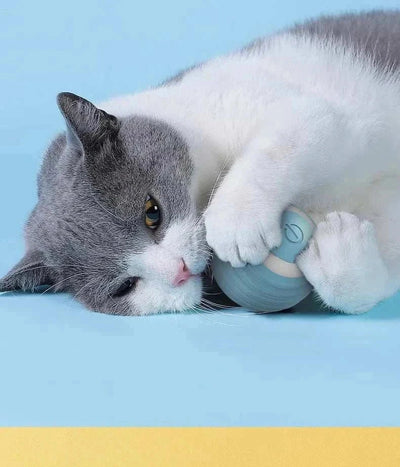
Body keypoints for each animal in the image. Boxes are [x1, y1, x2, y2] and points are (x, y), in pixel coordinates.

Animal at [0, 11, 400, 316]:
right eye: (125, 286)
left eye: (152, 212)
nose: (177, 271)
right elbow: (373, 276)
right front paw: (338, 246)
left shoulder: (306, 110)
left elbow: (282, 143)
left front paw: (237, 223)